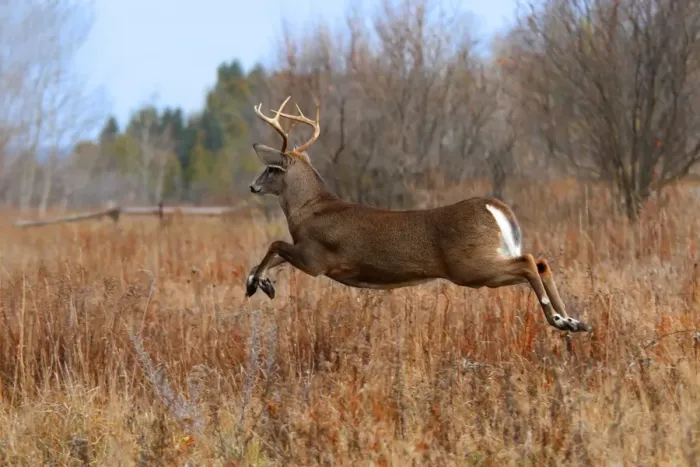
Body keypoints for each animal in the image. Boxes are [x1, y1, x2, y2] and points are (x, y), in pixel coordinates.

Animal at [244, 96, 592, 333]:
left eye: (271, 168)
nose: (252, 186)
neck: (309, 209)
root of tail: (496, 208)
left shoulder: (317, 258)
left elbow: (274, 245)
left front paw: (255, 284)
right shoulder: (306, 253)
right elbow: (271, 257)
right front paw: (261, 282)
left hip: (472, 266)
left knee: (529, 261)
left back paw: (559, 319)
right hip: (484, 264)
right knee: (541, 261)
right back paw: (574, 321)